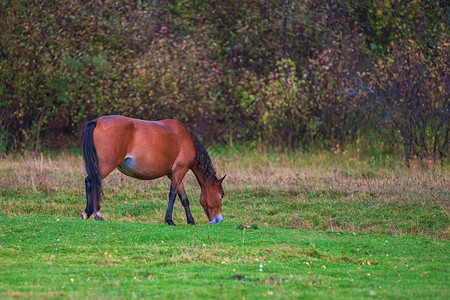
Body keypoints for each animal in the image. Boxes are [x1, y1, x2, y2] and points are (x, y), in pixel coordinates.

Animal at [80, 115, 225, 225]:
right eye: (221, 196)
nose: (219, 220)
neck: (187, 137)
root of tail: (97, 121)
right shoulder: (180, 170)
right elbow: (173, 195)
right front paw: (169, 220)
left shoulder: (173, 174)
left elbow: (184, 198)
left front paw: (190, 220)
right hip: (106, 166)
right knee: (92, 181)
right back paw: (96, 214)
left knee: (89, 181)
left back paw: (87, 212)